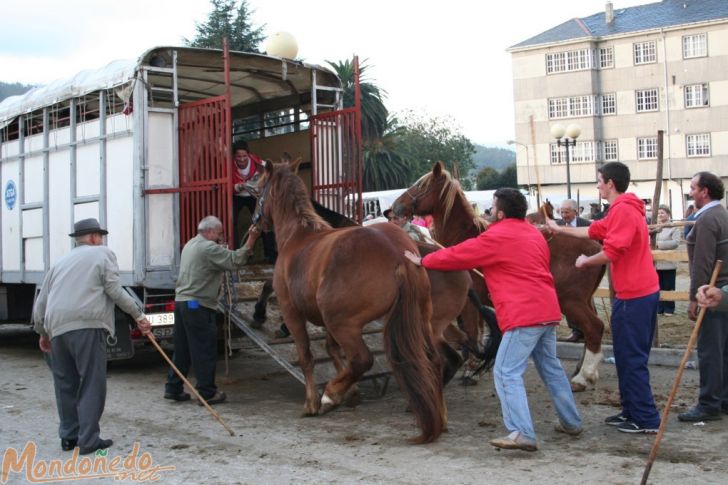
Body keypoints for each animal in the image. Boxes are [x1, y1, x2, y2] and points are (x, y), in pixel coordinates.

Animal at [256, 161, 450, 440]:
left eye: (259, 187)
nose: (256, 222)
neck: (298, 236)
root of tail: (398, 254)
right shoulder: (325, 320)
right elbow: (331, 350)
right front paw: (350, 391)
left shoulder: (292, 312)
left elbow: (306, 356)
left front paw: (313, 402)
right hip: (420, 317)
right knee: (433, 359)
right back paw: (441, 415)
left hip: (345, 325)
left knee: (362, 359)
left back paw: (330, 394)